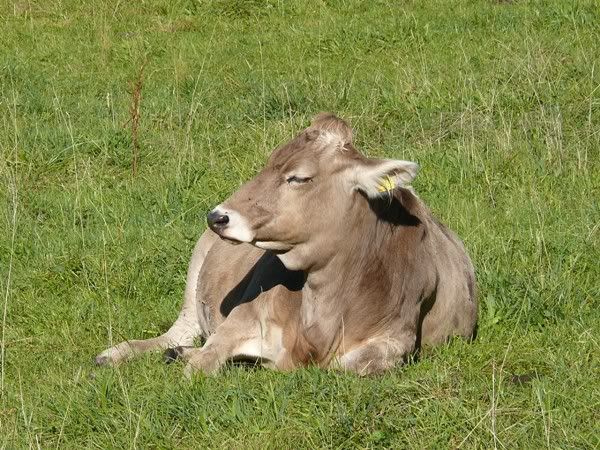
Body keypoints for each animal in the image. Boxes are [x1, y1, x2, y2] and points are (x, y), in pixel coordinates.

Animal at [95, 112, 478, 376]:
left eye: (298, 177)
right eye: (269, 162)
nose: (217, 216)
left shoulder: (397, 338)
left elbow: (349, 366)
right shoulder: (241, 317)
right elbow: (202, 364)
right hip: (194, 283)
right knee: (176, 335)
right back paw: (116, 353)